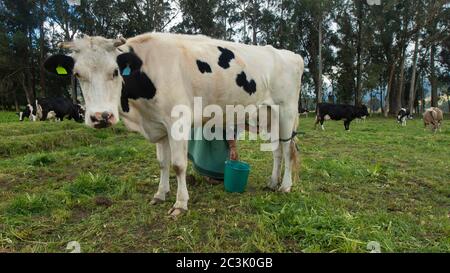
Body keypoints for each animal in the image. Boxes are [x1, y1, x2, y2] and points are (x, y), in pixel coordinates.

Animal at [44, 33, 304, 217]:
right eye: (77, 74)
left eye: (116, 71)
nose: (101, 117)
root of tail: (292, 55)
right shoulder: (158, 126)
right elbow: (162, 163)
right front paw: (160, 194)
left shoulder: (178, 121)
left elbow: (178, 165)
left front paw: (180, 203)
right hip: (267, 115)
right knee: (277, 151)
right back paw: (272, 183)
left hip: (287, 111)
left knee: (288, 150)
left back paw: (286, 186)